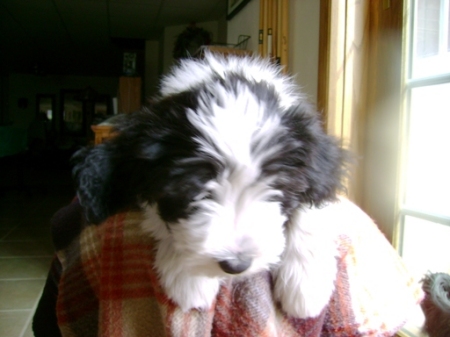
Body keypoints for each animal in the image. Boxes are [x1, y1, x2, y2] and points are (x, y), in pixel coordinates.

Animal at [73, 52, 348, 318]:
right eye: (190, 190)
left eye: (277, 186)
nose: (236, 265)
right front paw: (189, 280)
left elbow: (311, 209)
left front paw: (307, 286)